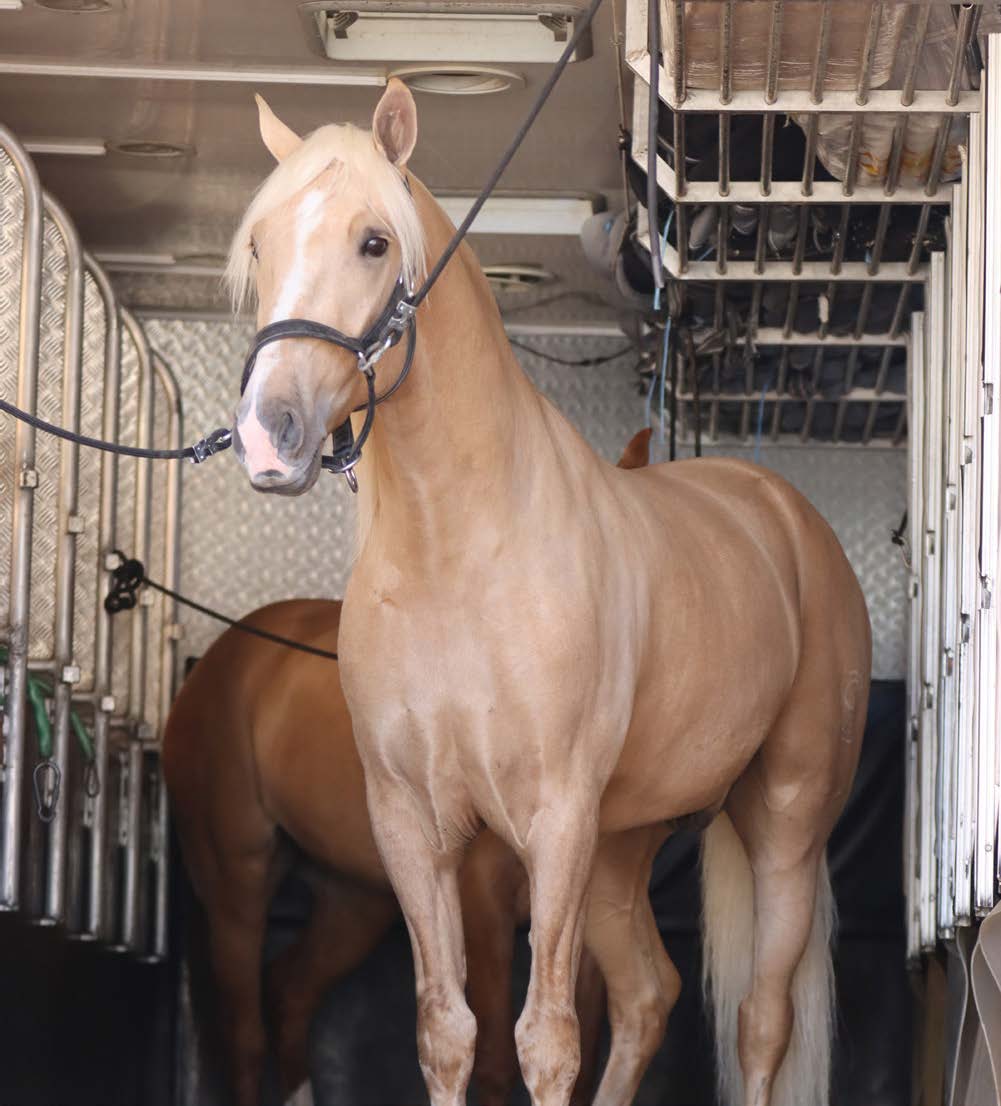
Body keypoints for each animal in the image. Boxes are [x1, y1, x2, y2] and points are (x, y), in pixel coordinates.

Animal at [164, 430, 653, 1106]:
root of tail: (211, 665)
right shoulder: (482, 905)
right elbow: (494, 1060)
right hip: (237, 884)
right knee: (245, 1033)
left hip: (355, 900)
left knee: (291, 990)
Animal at [228, 82, 871, 1106]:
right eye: (260, 245)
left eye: (373, 241)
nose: (266, 433)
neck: (458, 558)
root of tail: (780, 512)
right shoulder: (410, 823)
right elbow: (449, 1032)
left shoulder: (556, 818)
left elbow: (545, 1042)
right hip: (621, 847)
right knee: (650, 994)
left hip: (785, 821)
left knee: (761, 1023)